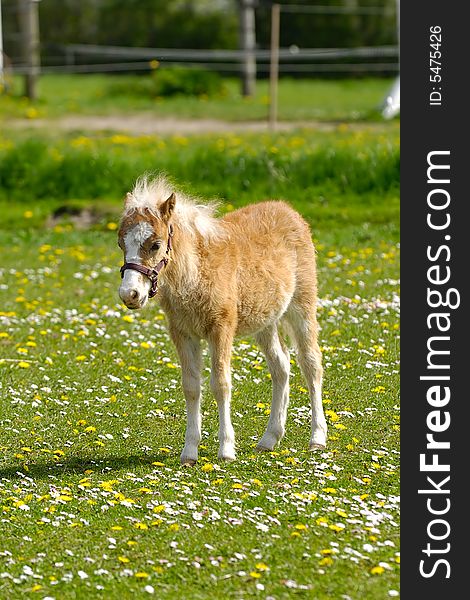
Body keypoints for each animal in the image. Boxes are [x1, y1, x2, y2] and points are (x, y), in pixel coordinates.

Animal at [117, 176, 326, 466]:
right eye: (121, 244)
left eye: (156, 244)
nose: (130, 295)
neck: (195, 273)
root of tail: (288, 210)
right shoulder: (182, 333)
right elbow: (191, 387)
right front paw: (189, 453)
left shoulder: (221, 328)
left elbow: (221, 384)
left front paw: (226, 449)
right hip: (265, 321)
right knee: (281, 366)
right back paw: (269, 439)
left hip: (301, 307)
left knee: (310, 364)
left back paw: (317, 438)